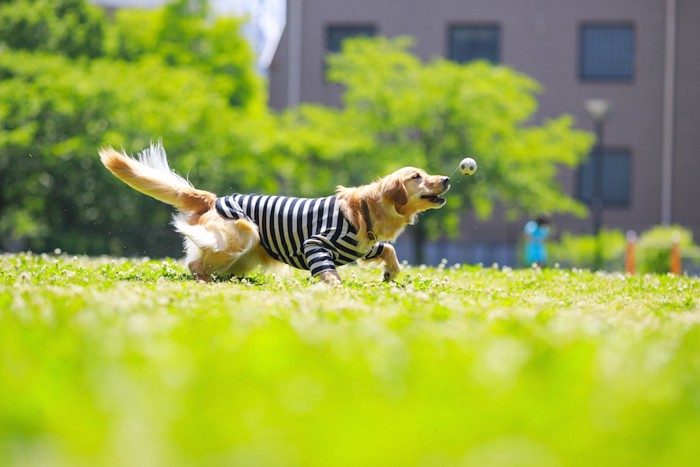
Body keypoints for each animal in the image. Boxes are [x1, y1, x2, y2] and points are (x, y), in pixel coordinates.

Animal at [97, 143, 448, 284]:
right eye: (417, 176)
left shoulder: (365, 246)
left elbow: (387, 250)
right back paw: (205, 280)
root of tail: (214, 199)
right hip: (241, 233)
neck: (365, 211)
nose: (446, 178)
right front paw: (334, 286)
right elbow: (327, 270)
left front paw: (390, 273)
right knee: (196, 262)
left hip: (246, 254)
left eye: (427, 173)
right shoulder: (316, 243)